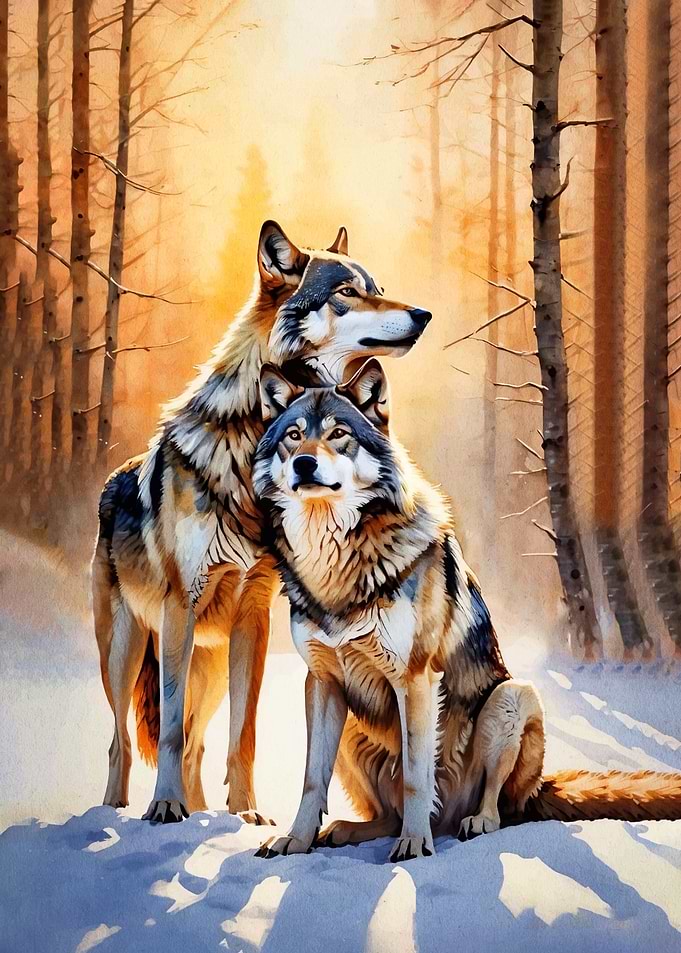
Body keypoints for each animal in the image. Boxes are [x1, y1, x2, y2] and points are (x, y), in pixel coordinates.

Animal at [92, 222, 432, 824]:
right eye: (347, 292)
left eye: (377, 288)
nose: (422, 314)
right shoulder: (181, 605)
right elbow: (168, 732)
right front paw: (166, 807)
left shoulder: (253, 612)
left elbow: (243, 733)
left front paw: (246, 816)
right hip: (127, 649)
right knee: (123, 740)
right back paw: (117, 811)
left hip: (207, 663)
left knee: (197, 741)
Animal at [252, 360, 681, 861]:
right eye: (293, 436)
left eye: (339, 433)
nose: (304, 463)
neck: (334, 563)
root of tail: (541, 787)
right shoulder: (320, 682)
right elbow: (310, 780)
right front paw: (295, 841)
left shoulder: (414, 679)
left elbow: (417, 777)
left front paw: (415, 846)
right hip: (354, 728)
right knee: (387, 814)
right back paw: (347, 830)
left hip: (511, 697)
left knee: (494, 808)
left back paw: (467, 823)